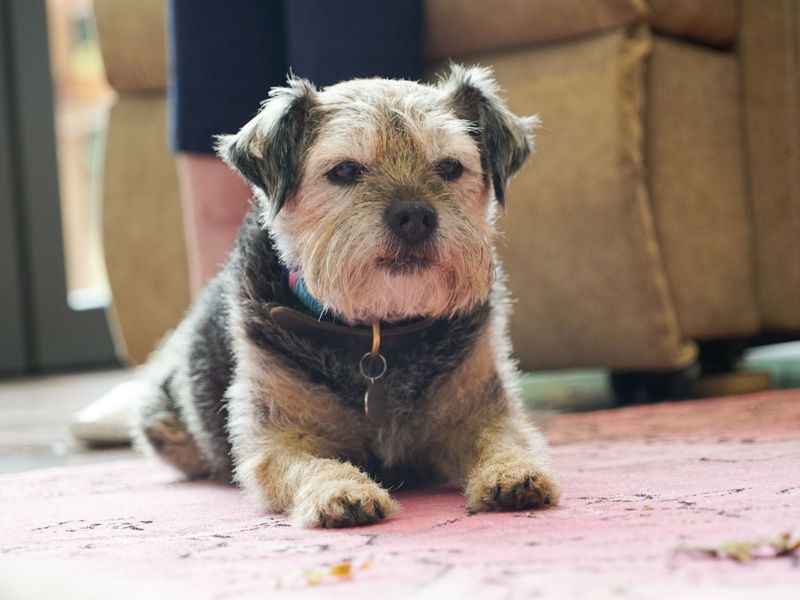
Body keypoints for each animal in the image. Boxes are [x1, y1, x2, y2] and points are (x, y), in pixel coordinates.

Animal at [134, 63, 560, 528]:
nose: (415, 216)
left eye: (449, 166)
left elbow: (502, 439)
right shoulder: (279, 439)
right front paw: (341, 490)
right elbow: (311, 465)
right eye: (343, 171)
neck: (379, 328)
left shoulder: (480, 412)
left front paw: (512, 471)